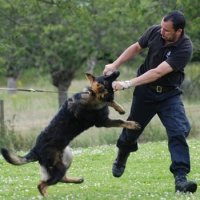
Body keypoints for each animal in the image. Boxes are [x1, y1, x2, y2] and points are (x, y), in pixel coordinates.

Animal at [0, 70, 140, 197]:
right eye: (106, 77)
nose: (117, 70)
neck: (92, 96)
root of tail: (35, 150)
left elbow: (110, 102)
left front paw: (120, 108)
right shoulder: (103, 122)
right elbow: (120, 121)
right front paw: (132, 124)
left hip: (67, 156)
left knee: (58, 179)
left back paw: (77, 180)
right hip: (59, 167)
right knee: (42, 184)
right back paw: (47, 196)